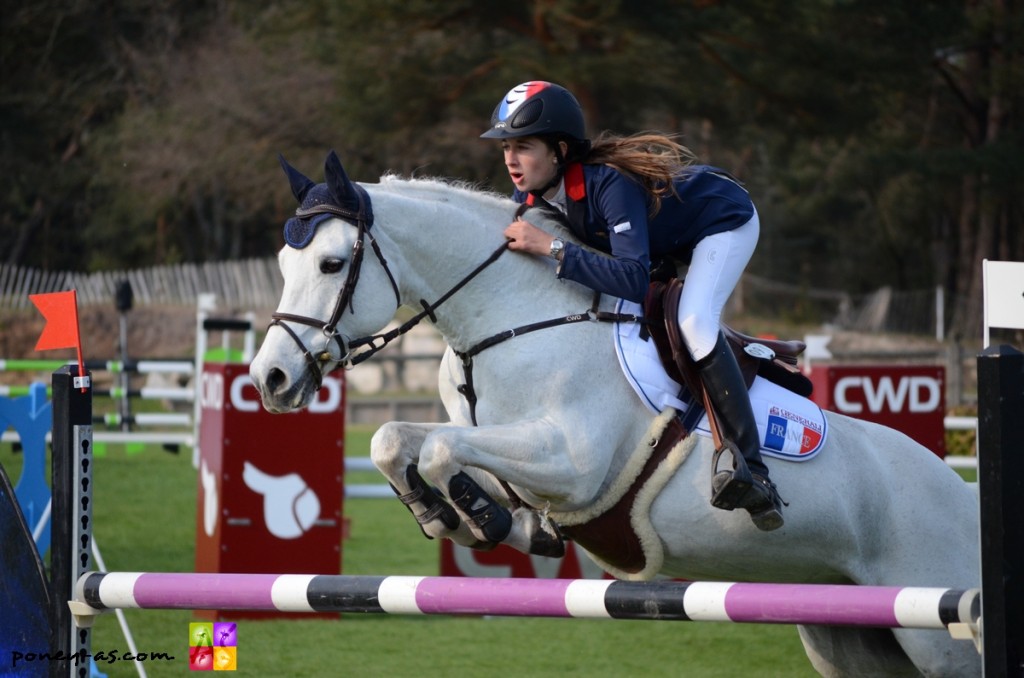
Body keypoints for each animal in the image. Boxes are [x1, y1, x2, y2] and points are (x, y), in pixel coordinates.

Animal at [251, 153, 978, 678]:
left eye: (332, 263)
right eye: (284, 261)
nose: (270, 379)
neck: (513, 315)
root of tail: (962, 493)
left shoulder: (572, 466)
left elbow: (436, 450)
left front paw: (481, 519)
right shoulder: (500, 448)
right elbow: (395, 440)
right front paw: (454, 515)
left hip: (938, 636)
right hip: (847, 634)